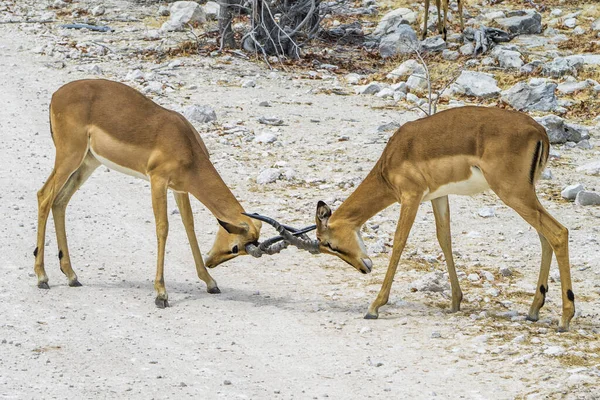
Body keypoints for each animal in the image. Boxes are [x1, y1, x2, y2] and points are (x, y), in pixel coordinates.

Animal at [34, 79, 288, 308]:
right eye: (235, 247)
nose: (211, 262)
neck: (186, 144)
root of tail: (56, 95)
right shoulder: (158, 181)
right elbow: (163, 228)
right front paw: (161, 294)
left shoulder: (180, 188)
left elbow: (189, 226)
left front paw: (210, 282)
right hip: (69, 156)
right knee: (44, 196)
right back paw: (42, 277)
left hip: (88, 162)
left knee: (60, 202)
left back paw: (71, 276)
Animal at [250, 105, 576, 332]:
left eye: (329, 244)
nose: (364, 268)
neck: (392, 158)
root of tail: (539, 131)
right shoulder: (437, 197)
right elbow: (444, 239)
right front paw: (455, 302)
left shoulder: (411, 196)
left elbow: (399, 241)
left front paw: (374, 306)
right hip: (523, 194)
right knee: (544, 237)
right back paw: (534, 311)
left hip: (512, 193)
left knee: (558, 232)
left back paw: (564, 318)